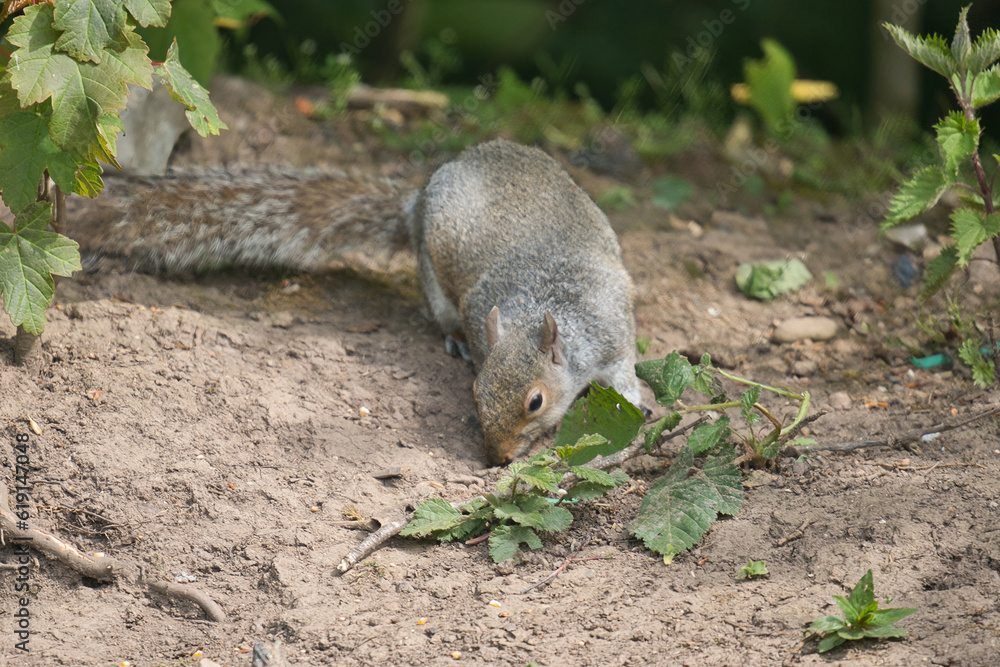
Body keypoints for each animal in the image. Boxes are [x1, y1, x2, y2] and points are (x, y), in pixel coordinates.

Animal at [69, 139, 648, 465]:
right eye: (475, 392)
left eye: (535, 403)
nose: (497, 460)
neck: (542, 309)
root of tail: (417, 199)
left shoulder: (614, 331)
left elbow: (622, 375)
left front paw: (637, 404)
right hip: (434, 276)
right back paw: (454, 339)